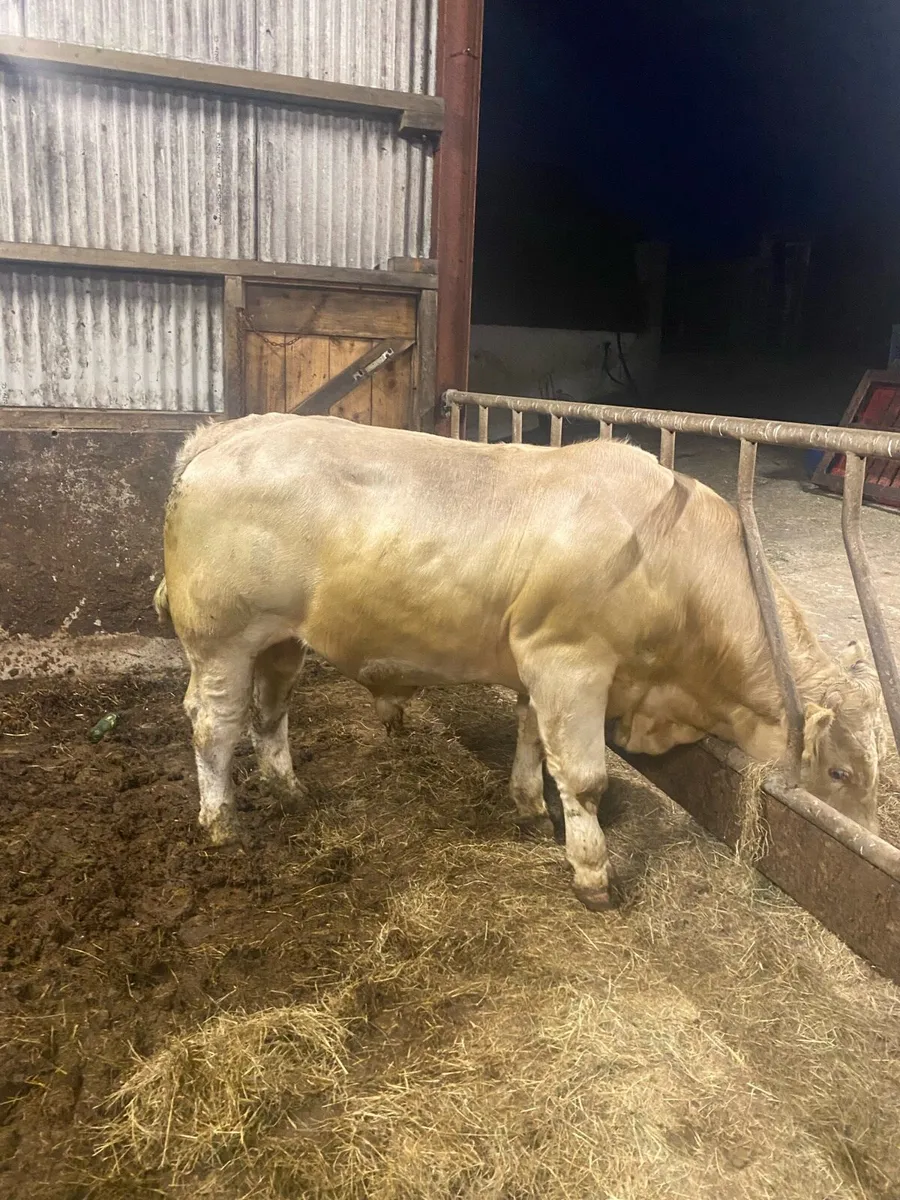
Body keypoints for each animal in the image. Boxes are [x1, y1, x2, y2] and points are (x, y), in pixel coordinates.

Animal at [154, 413, 884, 911]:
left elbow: (534, 738)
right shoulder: (572, 662)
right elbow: (586, 778)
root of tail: (224, 432)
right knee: (213, 726)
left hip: (279, 640)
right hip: (221, 639)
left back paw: (288, 789)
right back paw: (223, 824)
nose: (867, 846)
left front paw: (530, 805)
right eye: (840, 771)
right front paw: (593, 875)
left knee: (270, 710)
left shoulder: (542, 667)